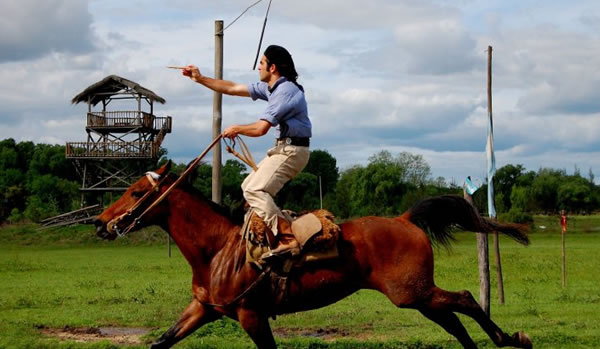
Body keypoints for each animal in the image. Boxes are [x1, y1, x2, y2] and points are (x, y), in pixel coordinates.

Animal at [96, 161, 532, 348]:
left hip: (414, 293)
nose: (101, 223)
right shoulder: (203, 309)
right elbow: (160, 343)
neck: (218, 249)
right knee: (453, 320)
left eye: (136, 192)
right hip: (417, 297)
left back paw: (513, 338)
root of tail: (405, 218)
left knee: (466, 300)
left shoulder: (251, 316)